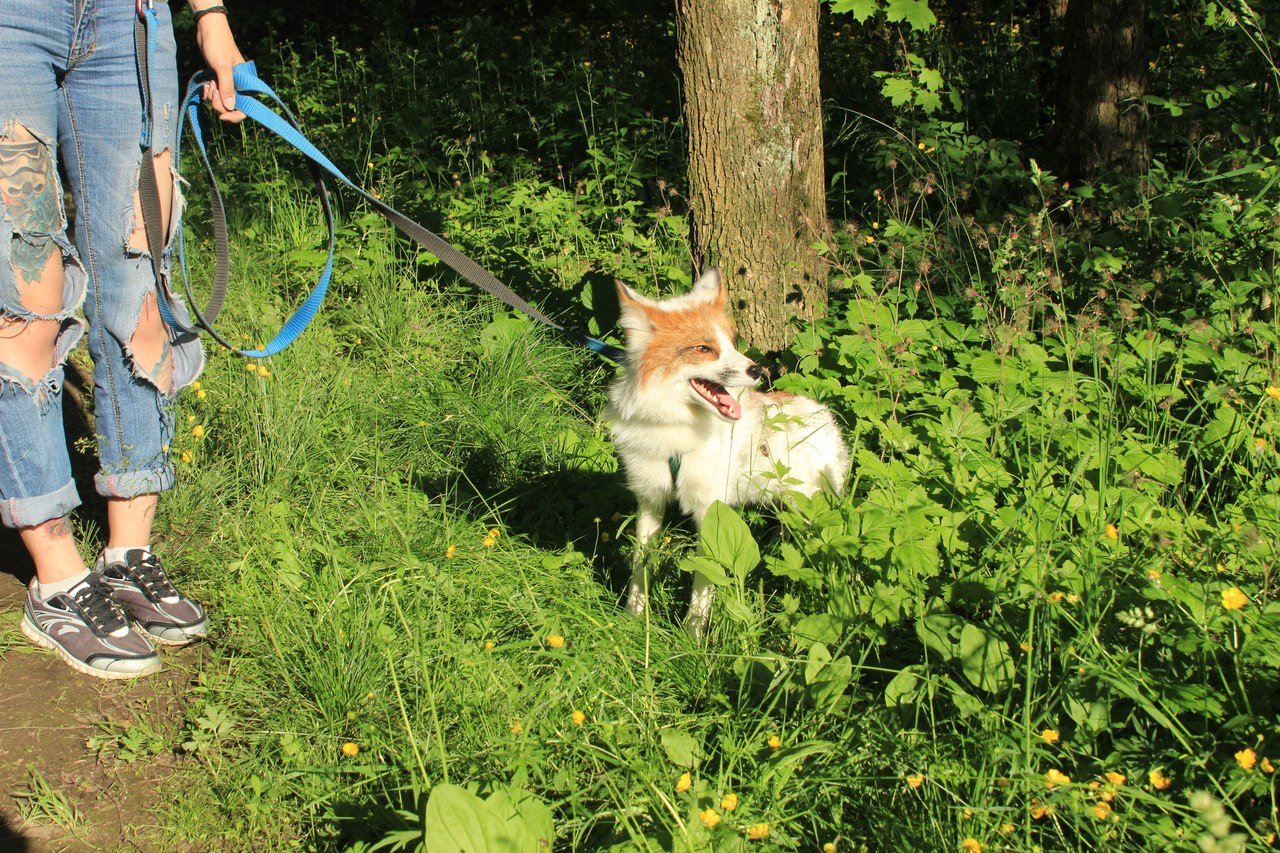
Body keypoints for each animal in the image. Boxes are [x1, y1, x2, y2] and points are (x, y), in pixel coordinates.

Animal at [601, 268, 844, 635]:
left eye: (732, 342)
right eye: (704, 348)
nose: (757, 370)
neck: (675, 435)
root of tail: (823, 414)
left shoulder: (710, 509)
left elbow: (703, 582)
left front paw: (692, 637)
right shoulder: (650, 498)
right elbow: (640, 567)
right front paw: (634, 620)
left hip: (810, 513)